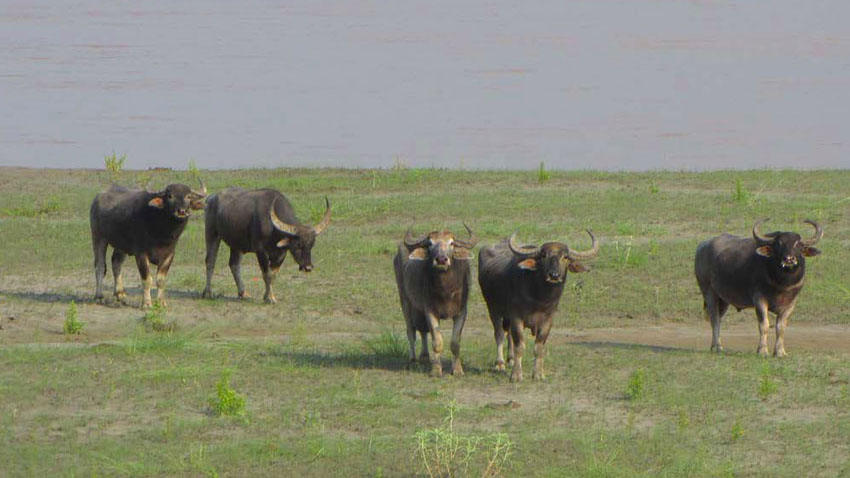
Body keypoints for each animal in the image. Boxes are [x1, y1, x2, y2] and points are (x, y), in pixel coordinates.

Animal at [90, 178, 207, 306]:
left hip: (121, 246)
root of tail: (98, 198)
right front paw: (146, 303)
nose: (181, 211)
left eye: (188, 196)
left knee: (116, 263)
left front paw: (161, 302)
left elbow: (161, 280)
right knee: (100, 266)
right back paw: (99, 296)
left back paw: (120, 294)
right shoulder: (141, 253)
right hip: (98, 237)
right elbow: (147, 279)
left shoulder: (170, 254)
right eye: (170, 196)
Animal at [200, 188, 330, 302]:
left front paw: (268, 296)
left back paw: (243, 293)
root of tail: (211, 198)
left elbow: (273, 275)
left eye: (312, 245)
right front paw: (270, 298)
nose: (308, 267)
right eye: (298, 245)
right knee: (210, 261)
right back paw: (208, 292)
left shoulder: (281, 254)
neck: (273, 229)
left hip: (236, 244)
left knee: (234, 264)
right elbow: (267, 274)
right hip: (212, 234)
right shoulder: (261, 251)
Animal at [392, 226, 476, 376]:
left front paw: (457, 370)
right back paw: (413, 360)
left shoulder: (461, 312)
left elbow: (455, 343)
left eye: (452, 243)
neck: (446, 290)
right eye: (430, 243)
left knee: (422, 330)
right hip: (405, 300)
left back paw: (425, 356)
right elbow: (437, 341)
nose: (441, 260)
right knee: (411, 331)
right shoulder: (430, 311)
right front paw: (436, 370)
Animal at [476, 230, 596, 382]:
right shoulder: (516, 317)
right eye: (544, 256)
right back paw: (500, 363)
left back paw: (510, 360)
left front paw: (538, 373)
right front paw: (516, 374)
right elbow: (520, 345)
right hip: (493, 308)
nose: (554, 275)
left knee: (508, 334)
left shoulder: (548, 320)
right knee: (499, 334)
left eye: (565, 257)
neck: (539, 299)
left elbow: (539, 347)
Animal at [692, 218, 820, 356]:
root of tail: (701, 247)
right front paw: (762, 350)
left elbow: (781, 327)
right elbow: (764, 325)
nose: (789, 259)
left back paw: (715, 346)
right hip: (708, 291)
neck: (782, 284)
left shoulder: (790, 304)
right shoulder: (759, 299)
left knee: (718, 318)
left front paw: (780, 352)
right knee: (714, 318)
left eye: (798, 245)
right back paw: (717, 347)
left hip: (723, 299)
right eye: (779, 244)